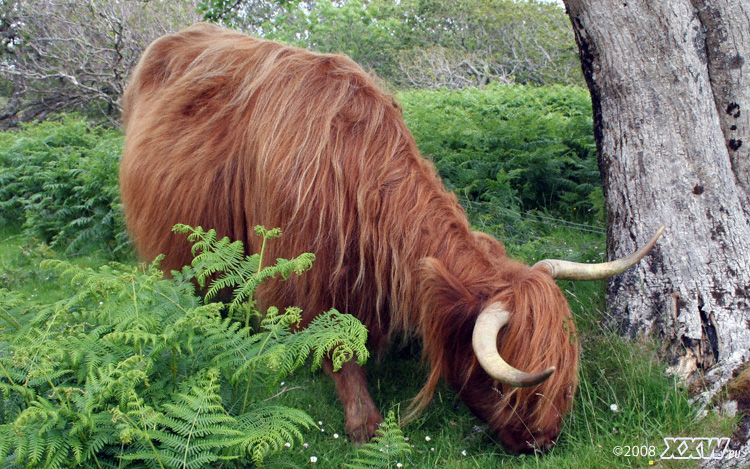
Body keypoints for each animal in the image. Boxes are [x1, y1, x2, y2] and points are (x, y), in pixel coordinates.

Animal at [122, 23, 664, 452]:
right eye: (506, 388)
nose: (543, 442)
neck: (351, 169)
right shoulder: (299, 267)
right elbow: (334, 343)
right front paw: (365, 424)